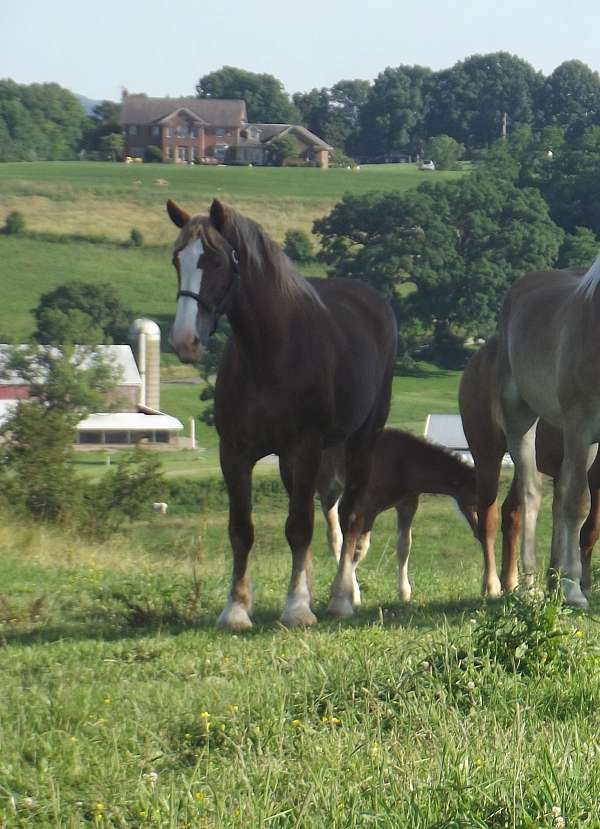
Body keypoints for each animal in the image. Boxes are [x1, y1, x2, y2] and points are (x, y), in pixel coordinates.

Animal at [166, 199, 398, 628]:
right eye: (178, 259)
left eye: (216, 260)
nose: (184, 341)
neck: (267, 352)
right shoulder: (235, 452)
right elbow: (243, 528)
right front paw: (237, 608)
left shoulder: (304, 449)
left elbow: (300, 527)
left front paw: (298, 608)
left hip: (361, 441)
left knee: (351, 515)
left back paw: (341, 597)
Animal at [314, 426, 478, 600]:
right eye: (476, 504)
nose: (479, 531)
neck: (403, 463)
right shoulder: (368, 509)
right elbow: (360, 549)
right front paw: (350, 594)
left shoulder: (408, 504)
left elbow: (404, 546)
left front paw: (404, 594)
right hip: (328, 489)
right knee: (335, 537)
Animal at [460, 334, 600, 600]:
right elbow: (588, 530)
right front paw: (582, 586)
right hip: (487, 456)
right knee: (488, 519)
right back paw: (492, 585)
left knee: (512, 514)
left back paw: (512, 582)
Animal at [490, 258, 600, 608]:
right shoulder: (581, 423)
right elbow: (579, 504)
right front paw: (575, 591)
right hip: (522, 419)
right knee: (532, 494)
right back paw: (529, 585)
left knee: (559, 496)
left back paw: (553, 581)